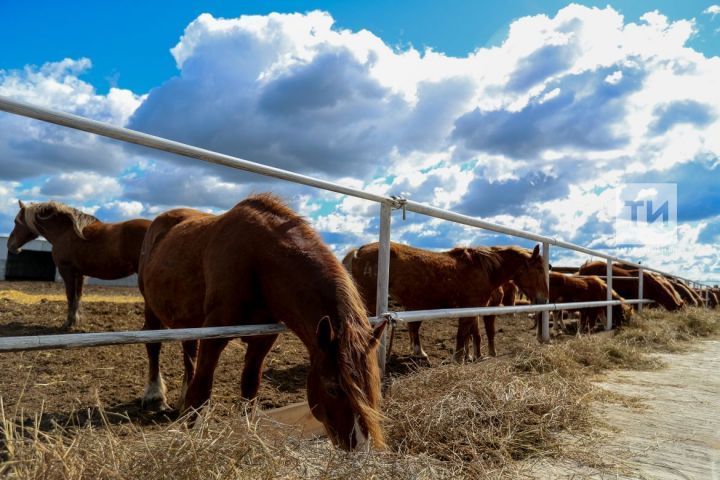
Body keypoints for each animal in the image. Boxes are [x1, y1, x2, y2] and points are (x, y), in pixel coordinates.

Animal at [7, 200, 150, 330]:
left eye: (16, 221)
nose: (10, 245)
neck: (65, 231)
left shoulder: (66, 270)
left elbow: (70, 296)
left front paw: (68, 323)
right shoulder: (80, 274)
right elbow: (78, 297)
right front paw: (76, 321)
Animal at [141, 194, 388, 450]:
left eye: (372, 387)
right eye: (332, 388)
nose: (360, 449)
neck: (256, 262)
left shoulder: (263, 339)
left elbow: (249, 389)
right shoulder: (215, 332)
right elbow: (201, 391)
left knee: (188, 352)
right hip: (151, 307)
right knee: (154, 346)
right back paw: (155, 395)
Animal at [348, 242, 544, 362]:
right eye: (540, 269)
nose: (542, 299)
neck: (483, 269)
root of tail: (358, 251)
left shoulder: (472, 310)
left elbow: (469, 335)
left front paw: (469, 357)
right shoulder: (470, 308)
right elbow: (463, 335)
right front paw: (458, 359)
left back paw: (420, 353)